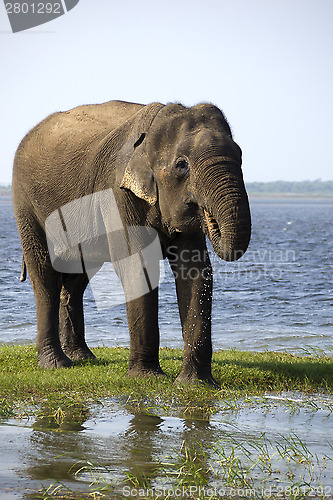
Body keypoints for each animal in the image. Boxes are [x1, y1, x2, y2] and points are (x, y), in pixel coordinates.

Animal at [13, 99, 250, 384]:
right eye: (182, 165)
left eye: (240, 156)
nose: (209, 216)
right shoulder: (117, 193)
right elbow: (138, 266)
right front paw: (147, 378)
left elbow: (194, 271)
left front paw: (196, 383)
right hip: (26, 203)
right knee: (44, 275)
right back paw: (56, 364)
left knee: (76, 279)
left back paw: (82, 358)